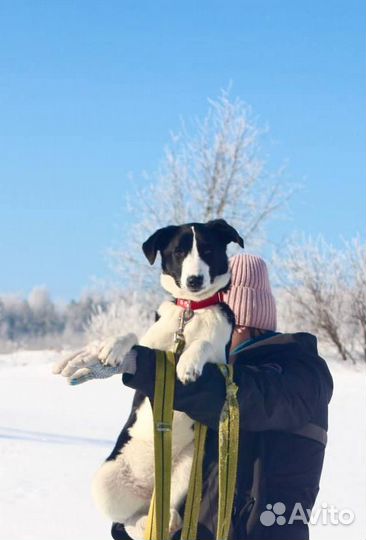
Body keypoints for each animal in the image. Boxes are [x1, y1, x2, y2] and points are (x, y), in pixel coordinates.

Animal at [90, 219, 243, 540]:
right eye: (178, 252)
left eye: (207, 249)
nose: (195, 280)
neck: (191, 311)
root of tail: (150, 490)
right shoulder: (153, 345)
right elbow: (134, 337)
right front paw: (113, 347)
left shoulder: (221, 359)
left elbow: (203, 343)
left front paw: (189, 364)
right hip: (105, 481)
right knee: (128, 519)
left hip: (187, 468)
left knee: (158, 513)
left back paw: (170, 519)